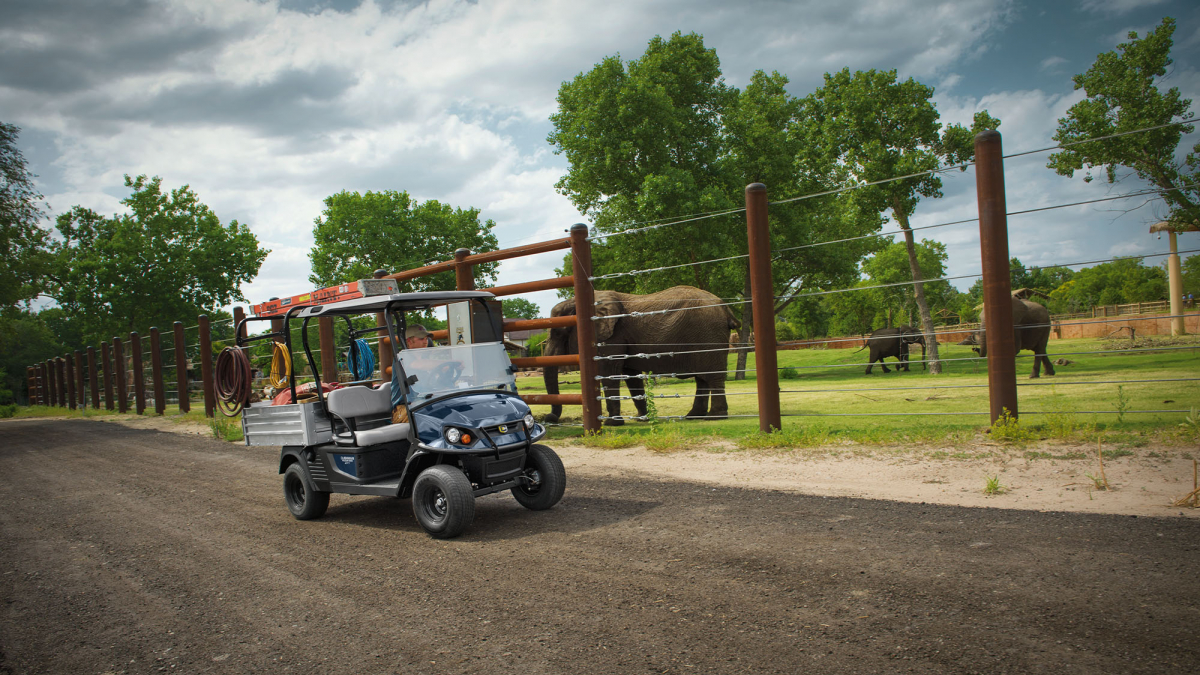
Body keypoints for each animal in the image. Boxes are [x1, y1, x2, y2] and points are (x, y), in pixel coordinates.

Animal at [542, 284, 739, 425]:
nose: (548, 418)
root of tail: (726, 308)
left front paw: (611, 424)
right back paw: (693, 417)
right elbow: (631, 375)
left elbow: (609, 372)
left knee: (712, 377)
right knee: (702, 379)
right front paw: (642, 419)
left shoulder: (613, 336)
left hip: (708, 334)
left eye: (559, 333)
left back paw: (715, 416)